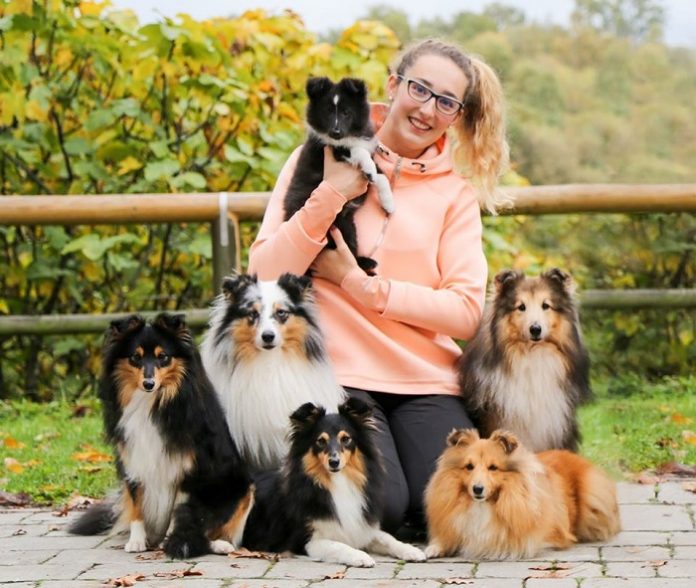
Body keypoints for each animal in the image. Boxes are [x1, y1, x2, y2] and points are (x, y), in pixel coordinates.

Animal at [69, 314, 254, 560]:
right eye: (135, 357)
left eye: (163, 356)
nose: (149, 384)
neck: (152, 403)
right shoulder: (134, 463)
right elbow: (136, 506)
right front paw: (137, 541)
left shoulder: (187, 471)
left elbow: (178, 512)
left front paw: (171, 541)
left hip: (242, 487)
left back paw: (220, 544)